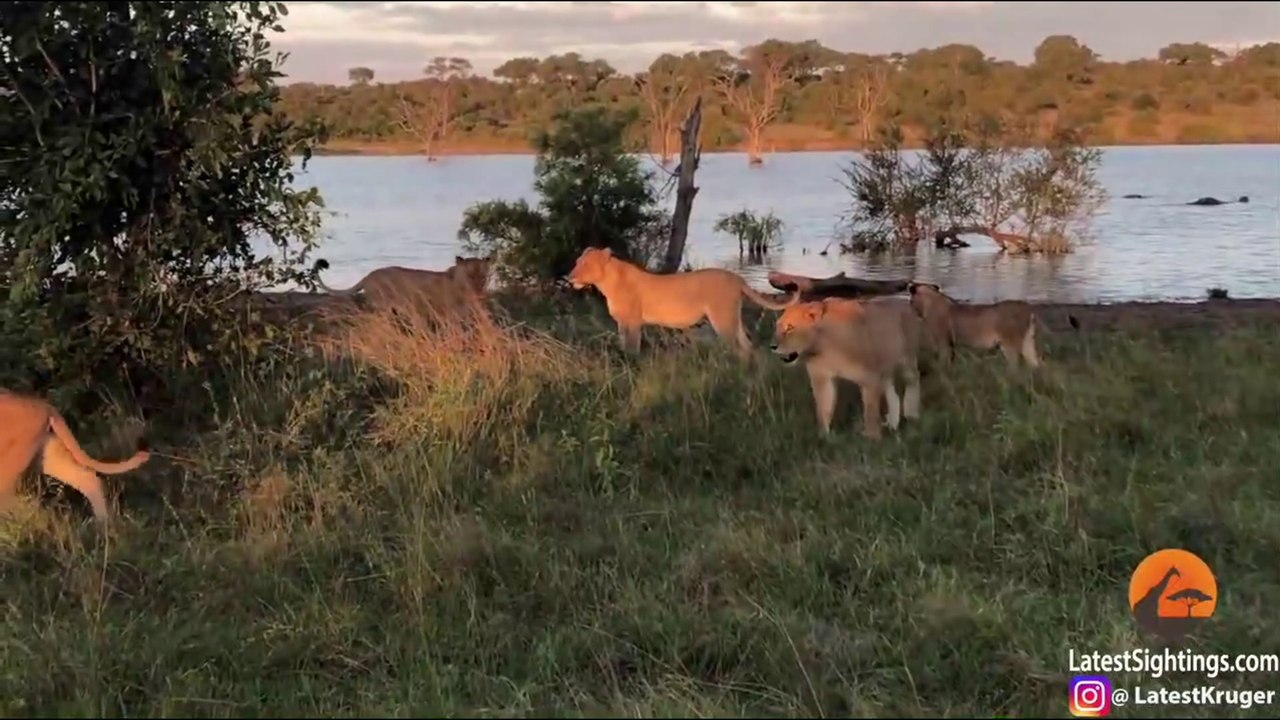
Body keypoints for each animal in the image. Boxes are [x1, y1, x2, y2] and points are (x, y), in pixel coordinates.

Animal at [315, 255, 493, 319]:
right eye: (470, 276)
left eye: (483, 277)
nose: (479, 291)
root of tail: (370, 274)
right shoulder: (448, 317)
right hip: (383, 307)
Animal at [566, 246, 800, 359]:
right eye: (577, 262)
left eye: (585, 264)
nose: (569, 277)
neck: (607, 282)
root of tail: (737, 277)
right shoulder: (622, 323)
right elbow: (624, 344)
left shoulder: (632, 322)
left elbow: (632, 348)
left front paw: (631, 365)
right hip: (733, 319)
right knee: (748, 346)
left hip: (722, 319)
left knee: (739, 348)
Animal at [770, 296, 923, 440]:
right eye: (777, 327)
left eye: (790, 328)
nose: (772, 346)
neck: (824, 347)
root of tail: (904, 301)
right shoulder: (821, 378)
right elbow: (823, 408)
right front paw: (824, 438)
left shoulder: (869, 377)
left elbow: (871, 412)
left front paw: (873, 439)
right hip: (885, 365)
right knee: (891, 390)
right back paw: (893, 423)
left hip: (907, 358)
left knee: (913, 379)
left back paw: (912, 417)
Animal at [907, 281, 1042, 368]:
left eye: (911, 300)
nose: (911, 308)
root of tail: (1028, 308)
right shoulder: (950, 344)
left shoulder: (943, 342)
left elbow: (943, 361)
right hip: (1028, 342)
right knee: (1034, 364)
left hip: (1010, 344)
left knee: (1015, 366)